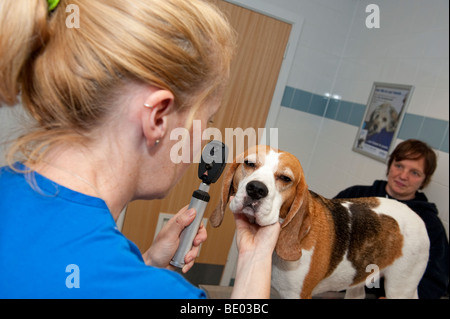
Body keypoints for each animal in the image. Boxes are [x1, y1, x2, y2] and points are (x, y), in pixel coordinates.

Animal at [211, 146, 428, 298]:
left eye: (285, 178)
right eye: (249, 164)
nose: (256, 189)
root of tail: (417, 217)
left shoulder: (297, 296)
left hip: (400, 288)